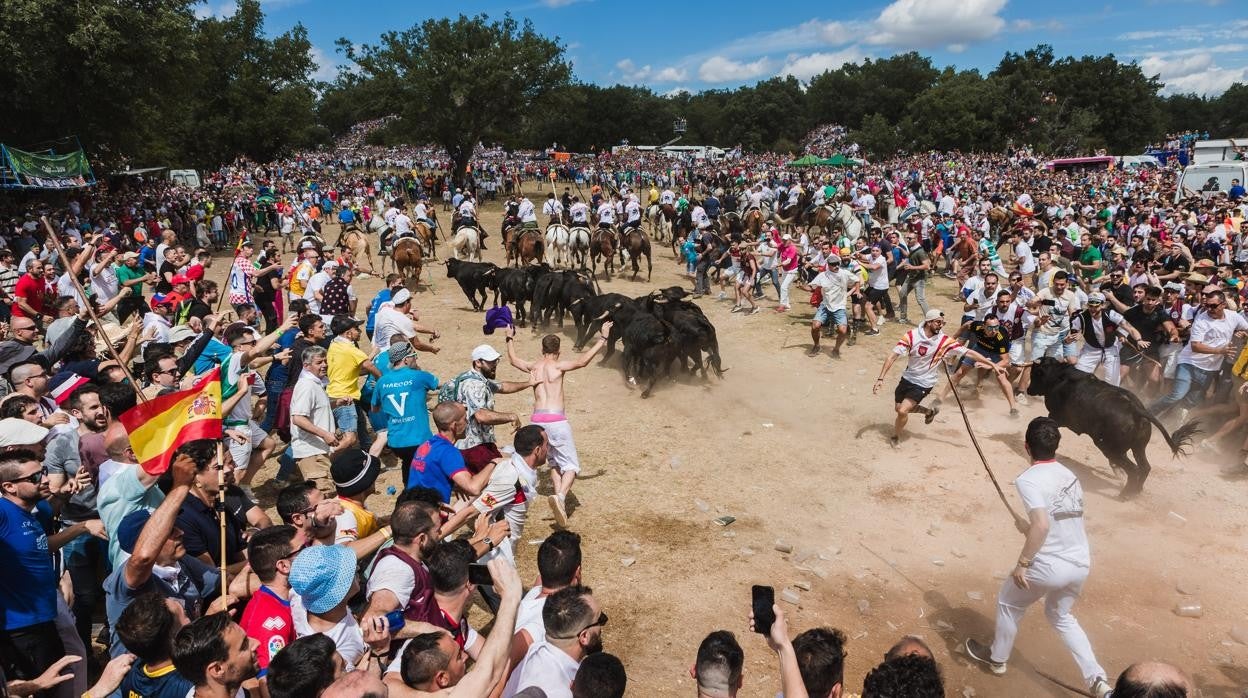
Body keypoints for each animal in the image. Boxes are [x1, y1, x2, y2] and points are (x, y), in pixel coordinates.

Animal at [1023, 359, 1198, 496]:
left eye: (1034, 374)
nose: (1028, 389)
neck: (1059, 377)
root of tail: (1136, 409)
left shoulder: (1056, 416)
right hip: (1137, 447)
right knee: (1145, 467)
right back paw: (1135, 490)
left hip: (1111, 448)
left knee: (1133, 469)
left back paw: (1125, 493)